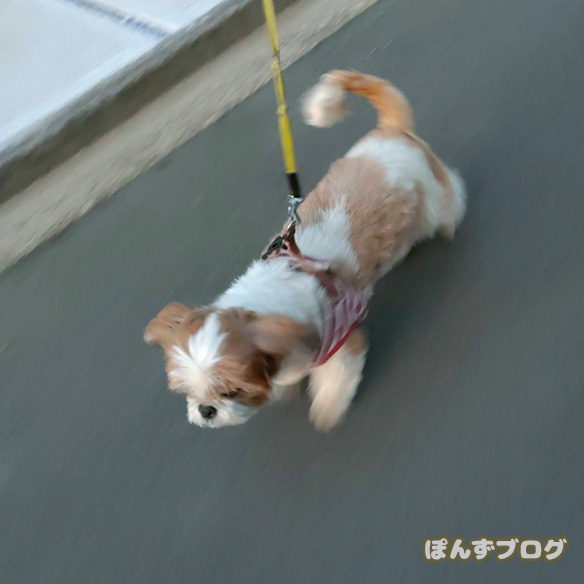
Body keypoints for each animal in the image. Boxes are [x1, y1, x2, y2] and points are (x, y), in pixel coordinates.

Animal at [145, 70, 466, 431]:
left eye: (232, 391)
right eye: (186, 392)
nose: (206, 410)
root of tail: (392, 132)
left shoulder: (340, 340)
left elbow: (337, 378)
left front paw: (326, 410)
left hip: (433, 196)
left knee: (450, 199)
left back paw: (449, 223)